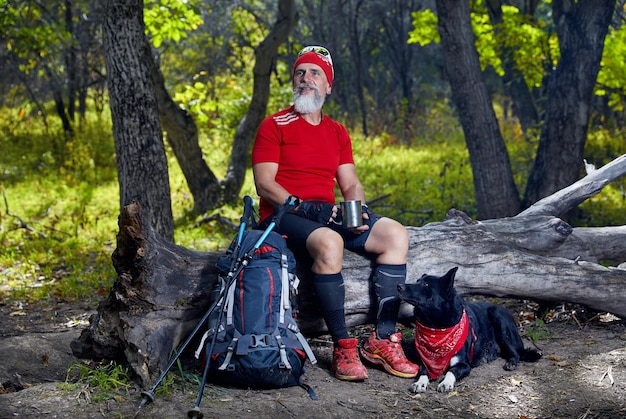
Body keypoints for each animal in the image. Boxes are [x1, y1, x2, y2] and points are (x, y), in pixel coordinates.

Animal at [398, 268, 540, 392]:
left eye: (426, 284)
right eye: (417, 281)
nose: (399, 286)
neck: (436, 326)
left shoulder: (464, 365)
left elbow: (451, 371)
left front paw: (446, 383)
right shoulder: (426, 362)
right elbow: (423, 371)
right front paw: (420, 383)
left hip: (500, 321)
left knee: (516, 353)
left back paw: (511, 362)